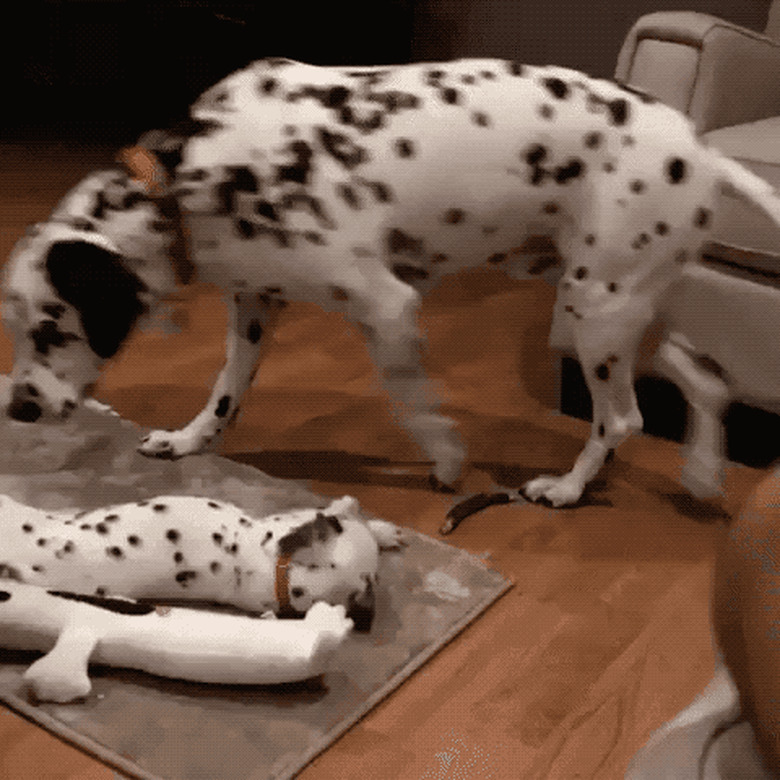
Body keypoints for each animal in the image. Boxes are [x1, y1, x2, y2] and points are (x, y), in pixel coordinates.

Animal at [4, 56, 780, 506]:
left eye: (51, 328)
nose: (19, 409)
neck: (197, 166)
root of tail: (703, 153)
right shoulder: (253, 304)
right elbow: (225, 393)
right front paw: (190, 441)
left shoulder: (385, 305)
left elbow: (414, 406)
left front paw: (448, 463)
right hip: (621, 309)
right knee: (706, 377)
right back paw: (703, 471)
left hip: (596, 309)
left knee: (621, 418)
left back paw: (566, 487)